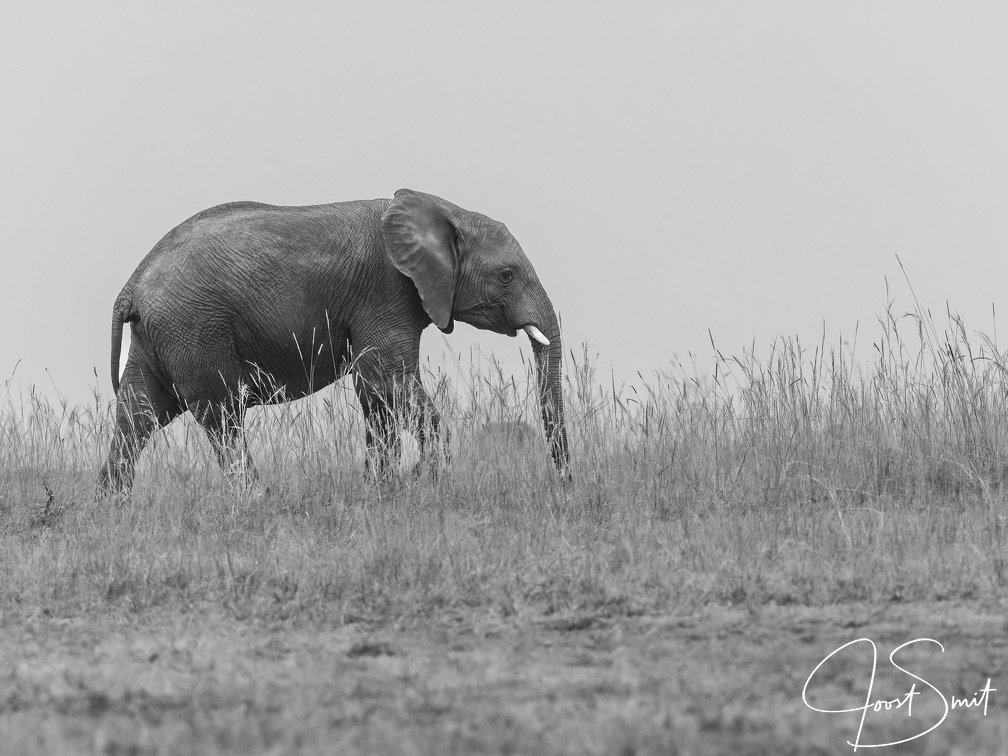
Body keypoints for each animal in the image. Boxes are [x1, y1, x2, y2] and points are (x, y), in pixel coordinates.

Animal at [97, 189, 570, 493]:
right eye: (506, 275)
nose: (565, 485)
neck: (444, 210)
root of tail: (132, 283)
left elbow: (375, 392)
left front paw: (383, 490)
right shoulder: (387, 291)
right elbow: (388, 379)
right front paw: (423, 481)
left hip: (162, 335)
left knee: (138, 415)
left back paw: (112, 509)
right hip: (193, 326)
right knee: (222, 413)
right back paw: (253, 501)